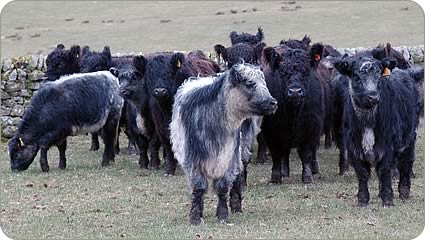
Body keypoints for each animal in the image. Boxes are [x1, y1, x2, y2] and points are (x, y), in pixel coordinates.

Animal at [171, 62, 276, 224]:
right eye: (249, 84)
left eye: (264, 83)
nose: (273, 103)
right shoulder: (193, 160)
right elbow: (199, 188)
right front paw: (195, 217)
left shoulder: (229, 158)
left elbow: (223, 187)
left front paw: (223, 214)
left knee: (238, 177)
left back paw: (236, 206)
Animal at [262, 42, 328, 184]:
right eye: (282, 72)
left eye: (306, 71)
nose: (295, 91)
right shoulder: (271, 129)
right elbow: (276, 153)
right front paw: (276, 176)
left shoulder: (312, 127)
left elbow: (307, 153)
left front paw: (307, 177)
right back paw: (284, 171)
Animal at [332, 54, 420, 206]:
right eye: (356, 76)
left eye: (379, 75)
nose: (373, 97)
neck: (368, 121)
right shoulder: (353, 147)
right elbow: (362, 173)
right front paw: (363, 200)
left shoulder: (388, 145)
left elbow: (385, 171)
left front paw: (387, 199)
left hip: (410, 138)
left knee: (406, 164)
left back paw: (403, 192)